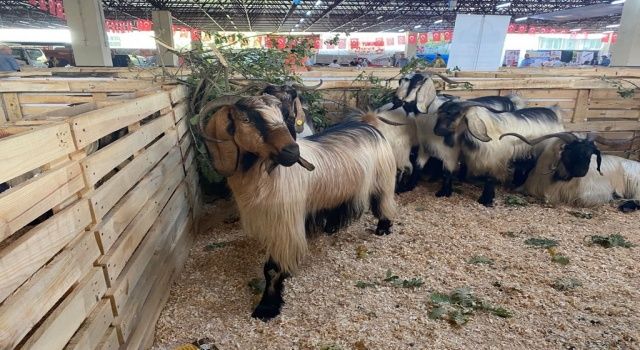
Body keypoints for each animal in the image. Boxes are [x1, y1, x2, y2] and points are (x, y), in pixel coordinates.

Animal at [202, 94, 398, 322]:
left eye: (282, 116)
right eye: (246, 120)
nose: (292, 152)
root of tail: (368, 123)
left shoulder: (284, 224)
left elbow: (272, 269)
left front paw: (267, 307)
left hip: (382, 179)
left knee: (383, 202)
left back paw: (382, 228)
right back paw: (331, 227)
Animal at [432, 102, 564, 205]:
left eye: (452, 114)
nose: (436, 131)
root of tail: (553, 112)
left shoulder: (495, 161)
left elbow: (490, 179)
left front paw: (486, 200)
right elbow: (448, 172)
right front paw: (444, 192)